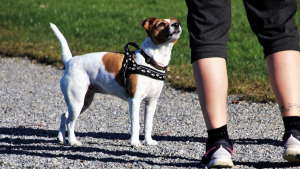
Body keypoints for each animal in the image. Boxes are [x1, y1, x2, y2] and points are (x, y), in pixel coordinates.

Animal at [49, 16, 180, 147]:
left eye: (175, 21)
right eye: (161, 24)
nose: (176, 24)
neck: (150, 61)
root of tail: (70, 61)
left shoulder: (151, 102)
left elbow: (148, 124)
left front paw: (148, 141)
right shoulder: (135, 100)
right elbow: (136, 124)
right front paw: (134, 143)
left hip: (83, 102)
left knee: (64, 116)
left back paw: (61, 138)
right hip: (77, 102)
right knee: (70, 123)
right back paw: (73, 141)